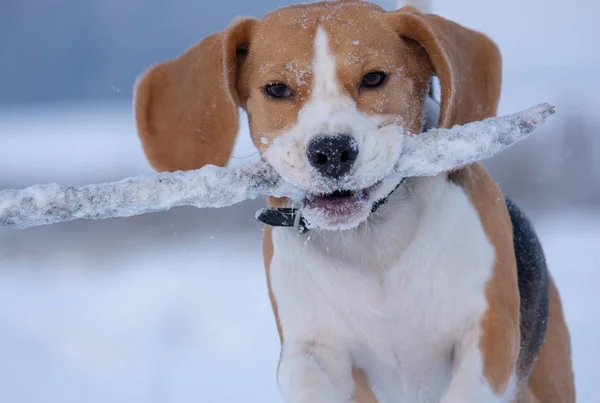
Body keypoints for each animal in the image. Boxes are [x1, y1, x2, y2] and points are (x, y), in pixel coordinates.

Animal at [134, 1, 576, 402]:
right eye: (277, 89)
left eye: (374, 78)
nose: (331, 151)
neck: (372, 240)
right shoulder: (313, 348)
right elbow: (312, 376)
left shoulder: (490, 330)